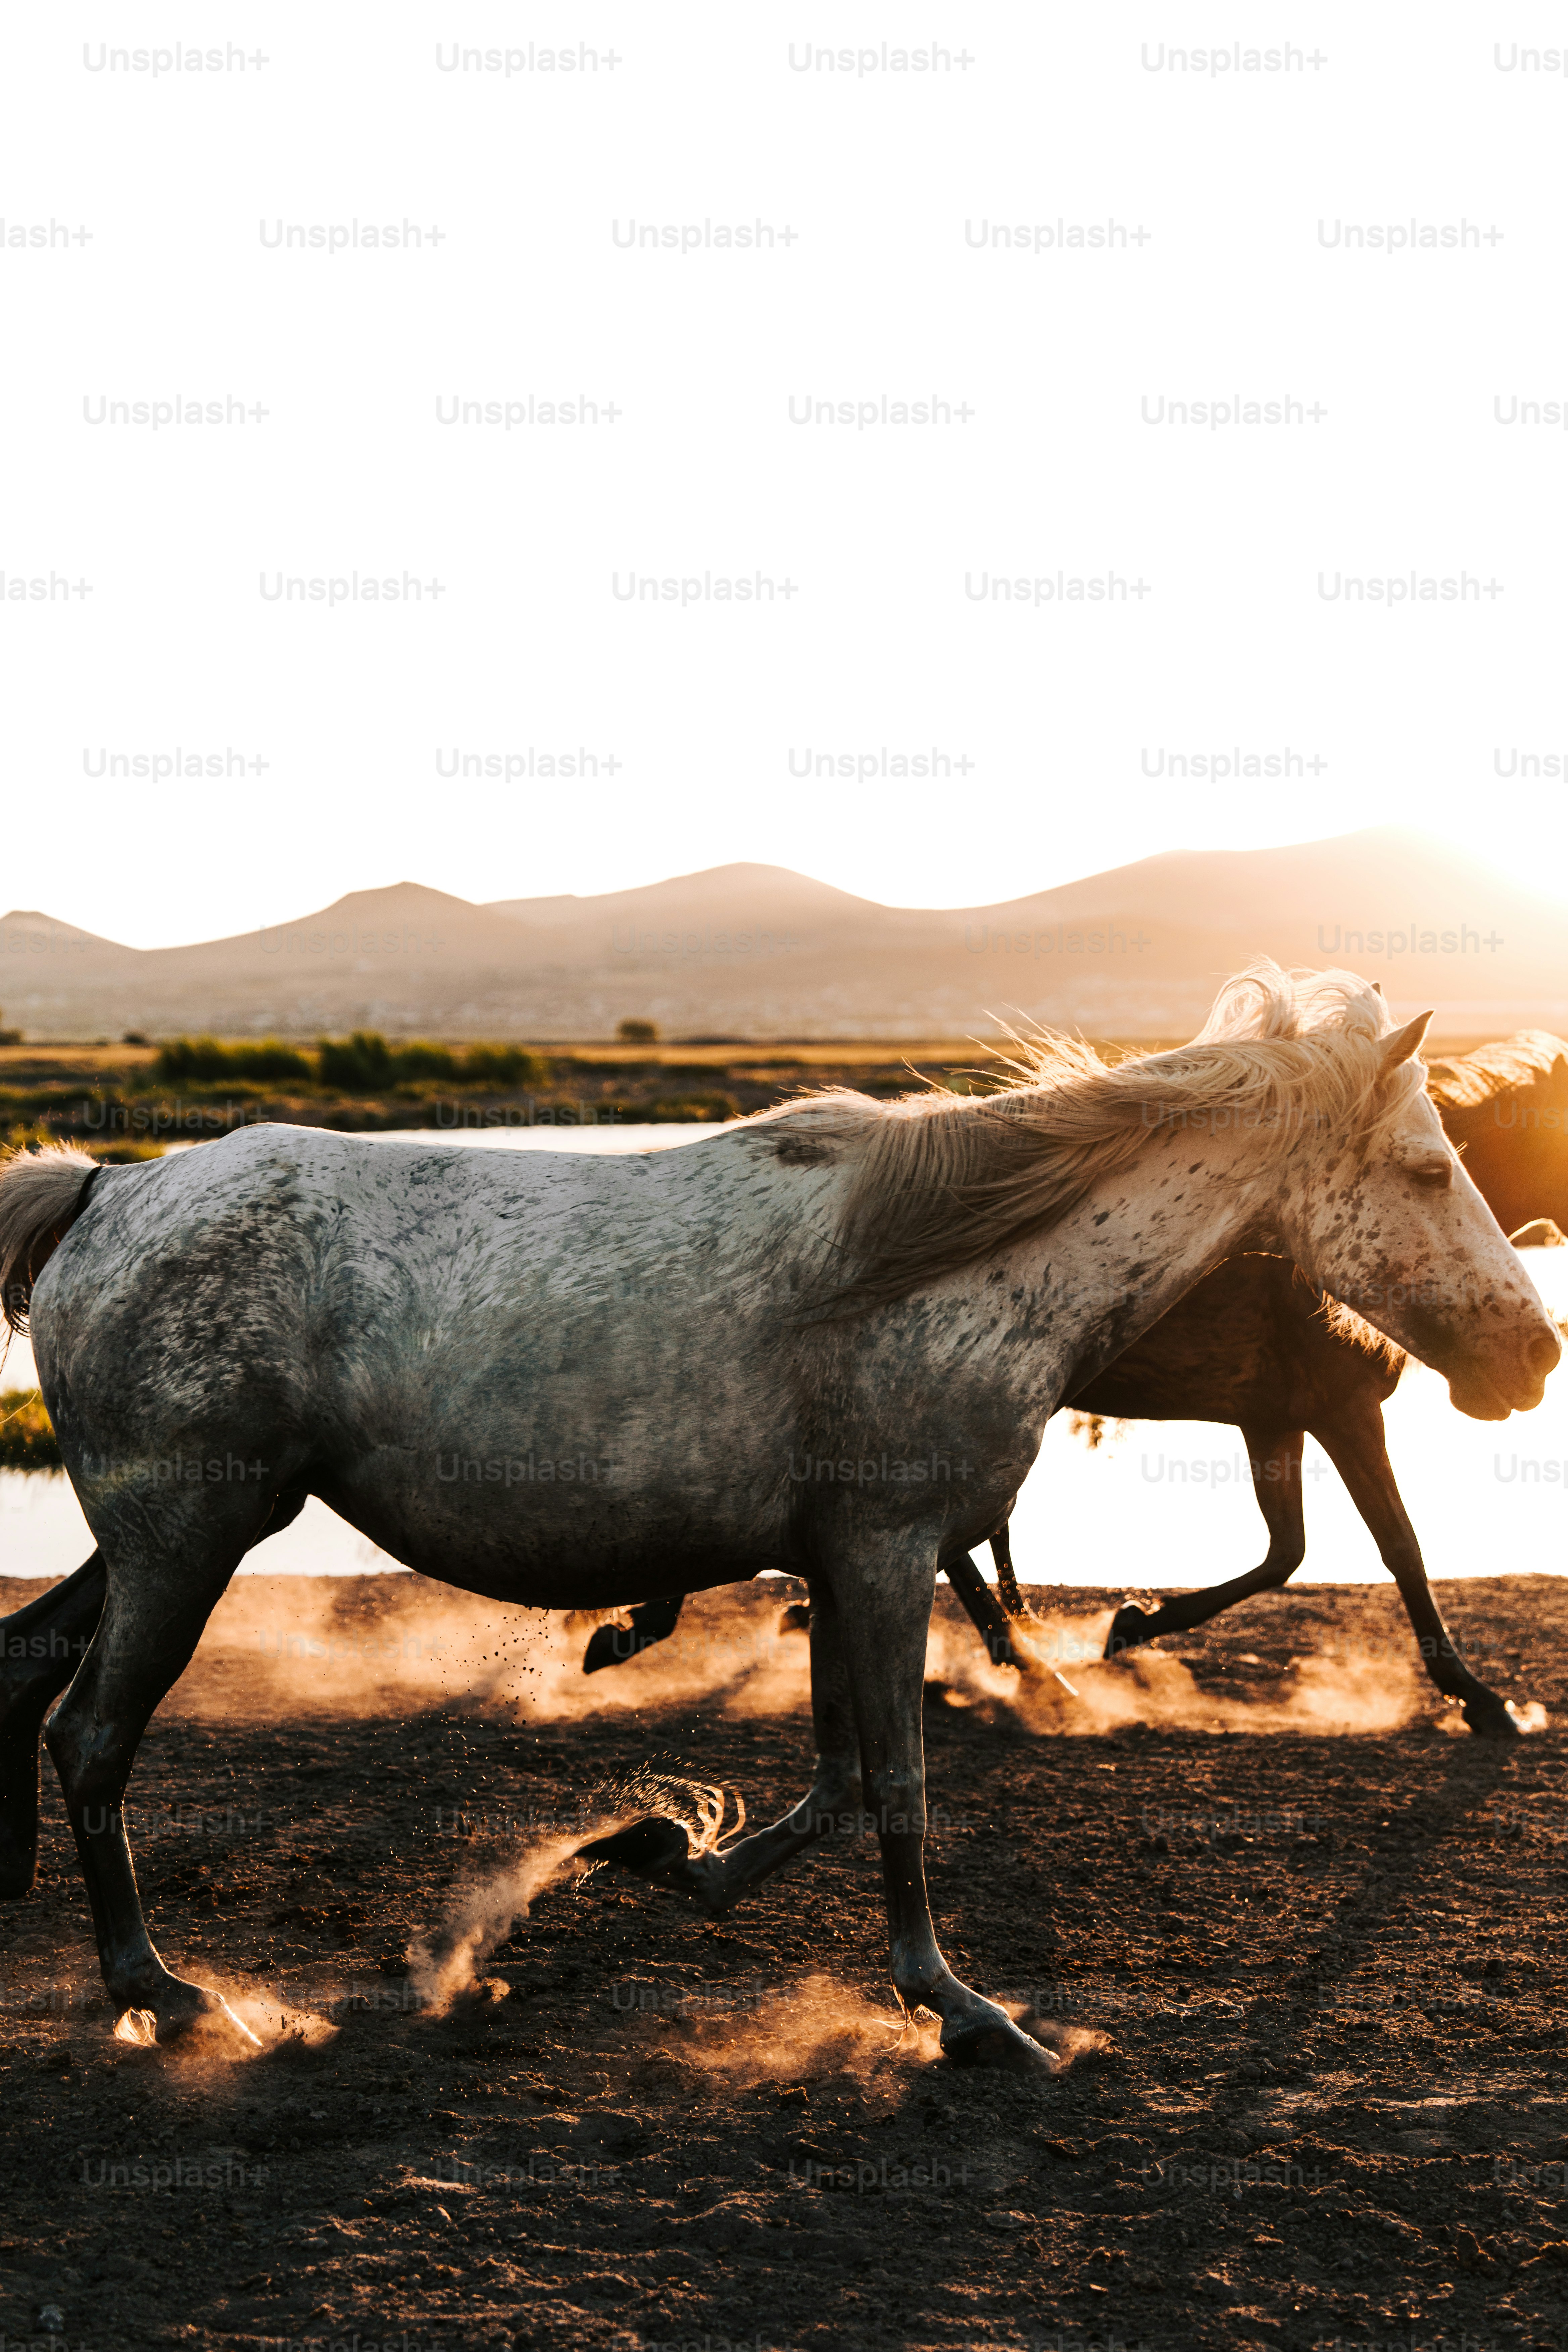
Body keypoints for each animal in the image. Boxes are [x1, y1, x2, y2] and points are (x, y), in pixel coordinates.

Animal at [0, 964, 1557, 2069]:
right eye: (1428, 1169)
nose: (1527, 1355)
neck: (945, 1268)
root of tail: (107, 1188)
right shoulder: (881, 1555)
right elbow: (897, 1789)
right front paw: (961, 2009)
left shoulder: (842, 1560)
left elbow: (835, 1781)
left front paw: (657, 1857)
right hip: (187, 1540)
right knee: (92, 1737)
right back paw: (170, 1996)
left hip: (167, 1535)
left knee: (40, 1669)